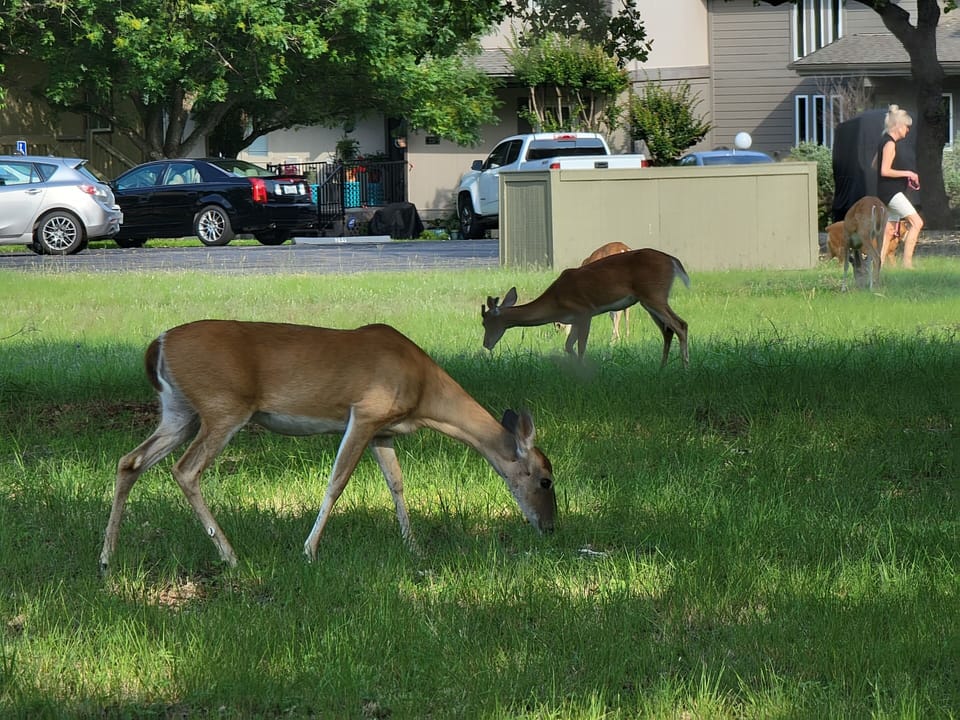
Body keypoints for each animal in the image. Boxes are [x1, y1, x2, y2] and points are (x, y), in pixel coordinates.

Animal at [99, 320, 557, 573]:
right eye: (546, 481)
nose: (551, 527)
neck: (425, 392)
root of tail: (156, 345)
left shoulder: (384, 431)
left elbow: (397, 484)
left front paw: (414, 548)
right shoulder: (366, 412)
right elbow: (336, 483)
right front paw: (309, 550)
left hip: (178, 411)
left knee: (130, 461)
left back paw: (107, 558)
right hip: (222, 406)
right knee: (185, 470)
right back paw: (231, 557)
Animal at [482, 247, 690, 367]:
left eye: (485, 323)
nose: (485, 344)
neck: (555, 302)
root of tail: (673, 261)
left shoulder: (584, 312)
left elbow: (581, 346)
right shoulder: (573, 319)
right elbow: (568, 346)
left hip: (654, 295)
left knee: (681, 325)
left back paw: (685, 368)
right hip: (648, 300)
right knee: (667, 330)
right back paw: (662, 368)